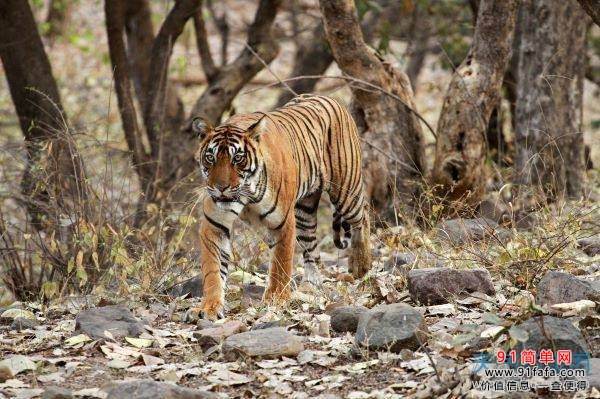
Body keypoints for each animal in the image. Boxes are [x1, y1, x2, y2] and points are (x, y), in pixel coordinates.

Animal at [191, 94, 370, 322]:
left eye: (237, 158)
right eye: (210, 158)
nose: (220, 187)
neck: (246, 192)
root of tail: (326, 97)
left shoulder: (282, 222)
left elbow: (280, 263)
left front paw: (276, 299)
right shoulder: (214, 225)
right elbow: (213, 270)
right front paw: (209, 308)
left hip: (346, 190)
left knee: (363, 215)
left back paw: (361, 266)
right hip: (304, 212)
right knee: (312, 249)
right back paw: (311, 286)